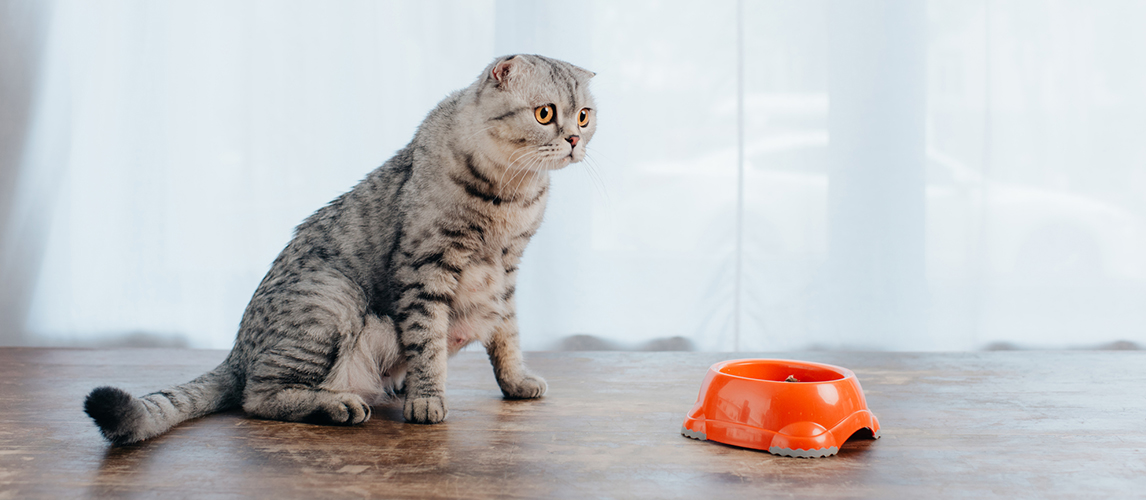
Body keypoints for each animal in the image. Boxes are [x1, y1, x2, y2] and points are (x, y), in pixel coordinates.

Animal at [83, 55, 600, 444]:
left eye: (584, 115)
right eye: (546, 114)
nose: (575, 139)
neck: (512, 194)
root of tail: (235, 352)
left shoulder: (504, 275)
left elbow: (507, 336)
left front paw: (516, 381)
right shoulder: (424, 267)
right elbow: (428, 343)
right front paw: (427, 399)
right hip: (331, 299)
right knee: (258, 396)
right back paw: (338, 406)